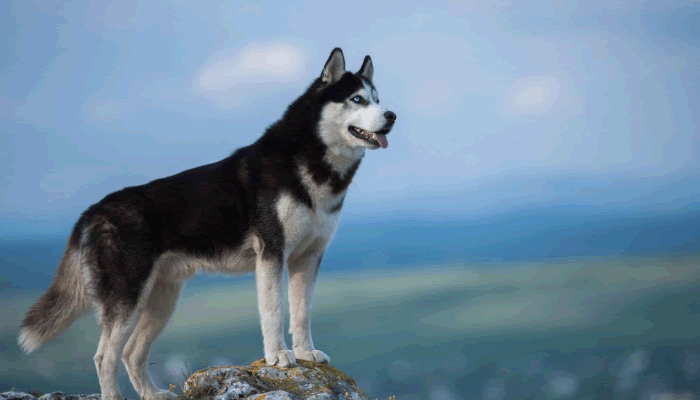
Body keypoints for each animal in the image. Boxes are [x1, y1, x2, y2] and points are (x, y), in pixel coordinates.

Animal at [19, 47, 396, 400]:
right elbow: (273, 311)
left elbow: (302, 313)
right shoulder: (272, 253)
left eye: (378, 99)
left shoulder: (309, 257)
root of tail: (92, 211)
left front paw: (305, 353)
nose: (392, 115)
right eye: (357, 99)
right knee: (105, 357)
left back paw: (153, 393)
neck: (312, 163)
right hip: (128, 297)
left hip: (162, 298)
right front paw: (278, 356)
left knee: (131, 353)